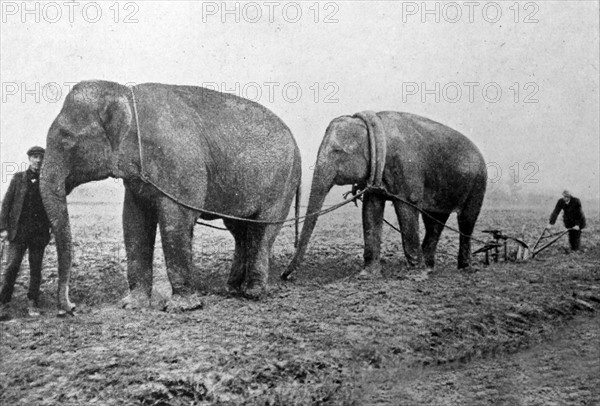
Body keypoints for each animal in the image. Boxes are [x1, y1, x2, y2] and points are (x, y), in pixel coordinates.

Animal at [39, 80, 300, 314]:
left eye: (66, 139)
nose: (71, 308)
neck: (126, 94)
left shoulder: (180, 163)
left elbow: (176, 220)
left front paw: (181, 307)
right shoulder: (136, 178)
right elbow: (134, 222)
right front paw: (131, 305)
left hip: (282, 182)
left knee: (262, 229)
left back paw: (253, 293)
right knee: (239, 230)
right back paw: (230, 289)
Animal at [282, 112, 488, 282]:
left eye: (337, 151)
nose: (285, 276)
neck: (374, 127)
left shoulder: (406, 167)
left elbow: (407, 207)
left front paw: (414, 277)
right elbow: (371, 209)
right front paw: (366, 276)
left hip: (478, 182)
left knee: (466, 220)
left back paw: (464, 268)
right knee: (434, 222)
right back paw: (430, 268)